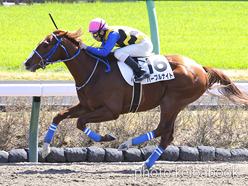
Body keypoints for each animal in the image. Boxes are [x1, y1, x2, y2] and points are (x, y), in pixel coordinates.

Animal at [23, 28, 248, 169]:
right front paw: (45, 148)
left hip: (172, 101)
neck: (94, 71)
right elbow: (59, 115)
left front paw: (107, 137)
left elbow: (80, 122)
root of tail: (199, 67)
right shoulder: (88, 105)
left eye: (45, 45)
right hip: (174, 103)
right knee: (167, 134)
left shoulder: (111, 111)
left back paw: (128, 145)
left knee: (164, 130)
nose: (27, 63)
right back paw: (145, 163)